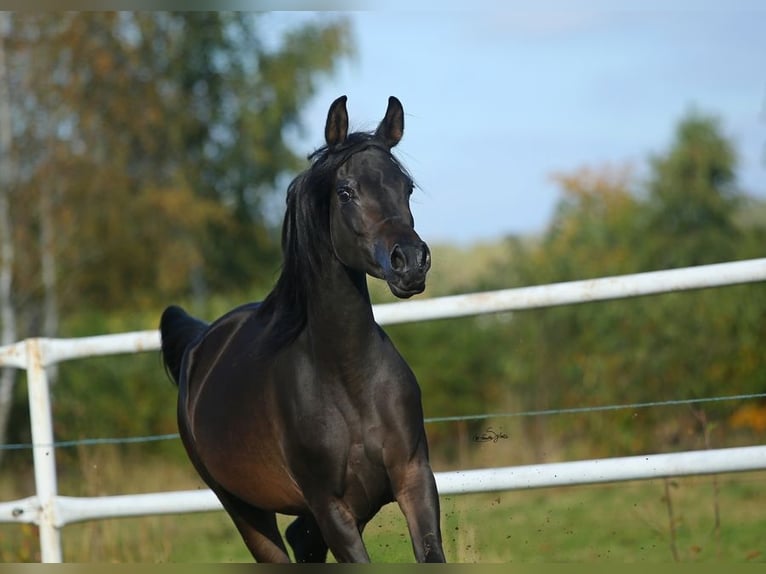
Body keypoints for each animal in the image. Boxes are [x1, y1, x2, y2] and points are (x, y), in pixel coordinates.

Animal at [159, 95, 445, 563]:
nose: (410, 261)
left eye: (406, 188)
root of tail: (198, 344)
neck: (348, 382)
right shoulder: (331, 508)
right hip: (243, 509)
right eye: (346, 192)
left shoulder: (414, 479)